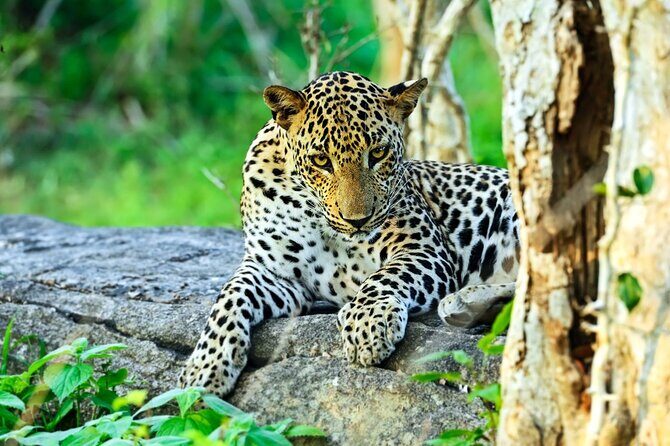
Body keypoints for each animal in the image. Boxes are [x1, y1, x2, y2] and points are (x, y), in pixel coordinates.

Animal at [179, 71, 519, 396]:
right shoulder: (274, 271)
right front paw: (204, 367)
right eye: (321, 160)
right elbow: (230, 296)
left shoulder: (423, 248)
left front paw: (367, 323)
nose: (357, 220)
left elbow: (387, 275)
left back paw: (463, 303)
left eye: (378, 153)